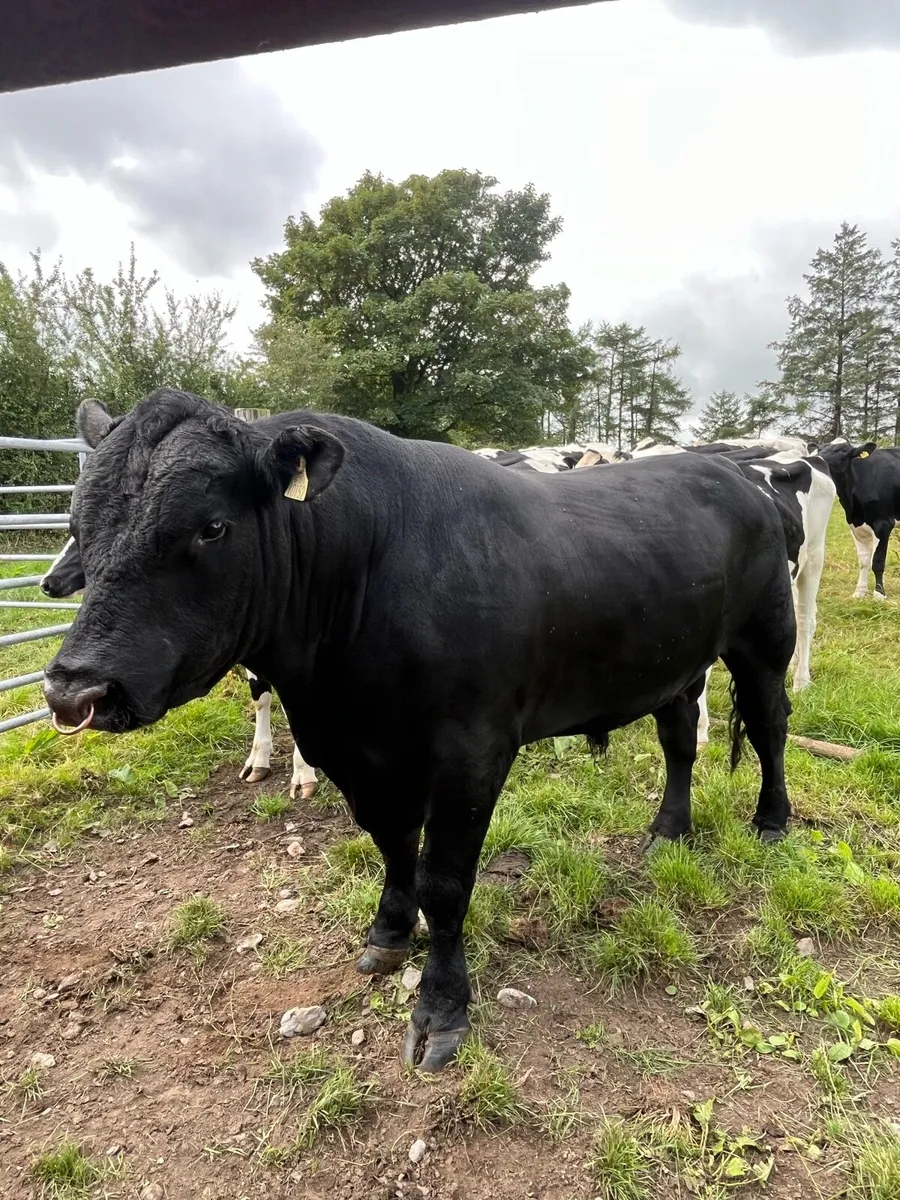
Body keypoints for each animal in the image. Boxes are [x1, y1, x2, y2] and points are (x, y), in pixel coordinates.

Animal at [816, 439, 900, 600]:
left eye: (842, 450)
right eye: (820, 448)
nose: (816, 460)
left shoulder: (883, 524)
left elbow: (878, 561)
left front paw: (879, 594)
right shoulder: (855, 525)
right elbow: (864, 561)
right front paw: (860, 592)